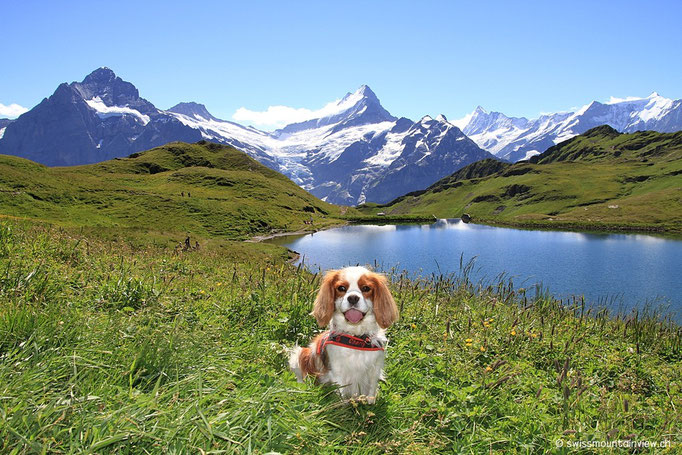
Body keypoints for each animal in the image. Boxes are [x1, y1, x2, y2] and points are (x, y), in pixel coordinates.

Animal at [288, 266, 398, 404]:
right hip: (299, 354)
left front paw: (371, 404)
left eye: (366, 288)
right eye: (341, 288)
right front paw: (341, 406)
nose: (353, 298)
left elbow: (372, 390)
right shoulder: (338, 370)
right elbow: (340, 391)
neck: (356, 337)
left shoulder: (375, 368)